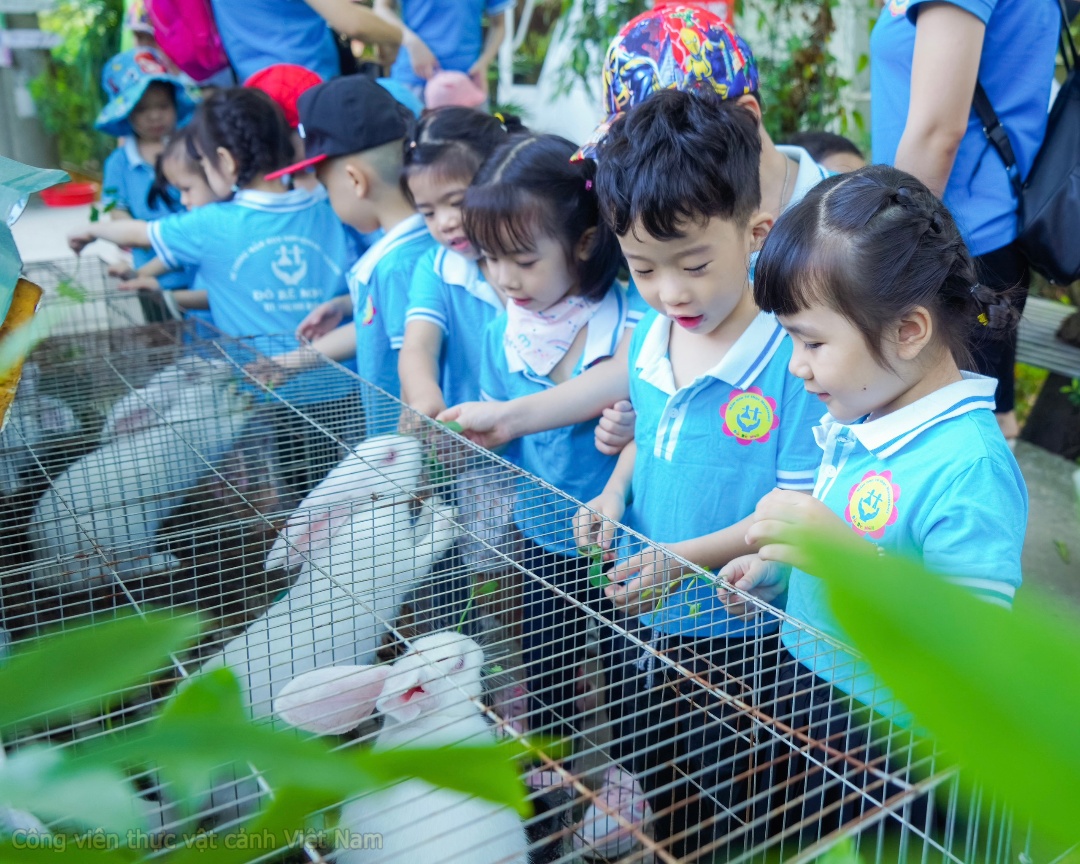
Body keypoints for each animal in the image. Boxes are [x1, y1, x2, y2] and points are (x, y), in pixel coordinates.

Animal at [28, 375, 250, 589]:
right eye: (201, 386)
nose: (232, 385)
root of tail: (46, 566)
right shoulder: (211, 437)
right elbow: (231, 426)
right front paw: (243, 403)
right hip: (129, 542)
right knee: (124, 572)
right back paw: (167, 562)